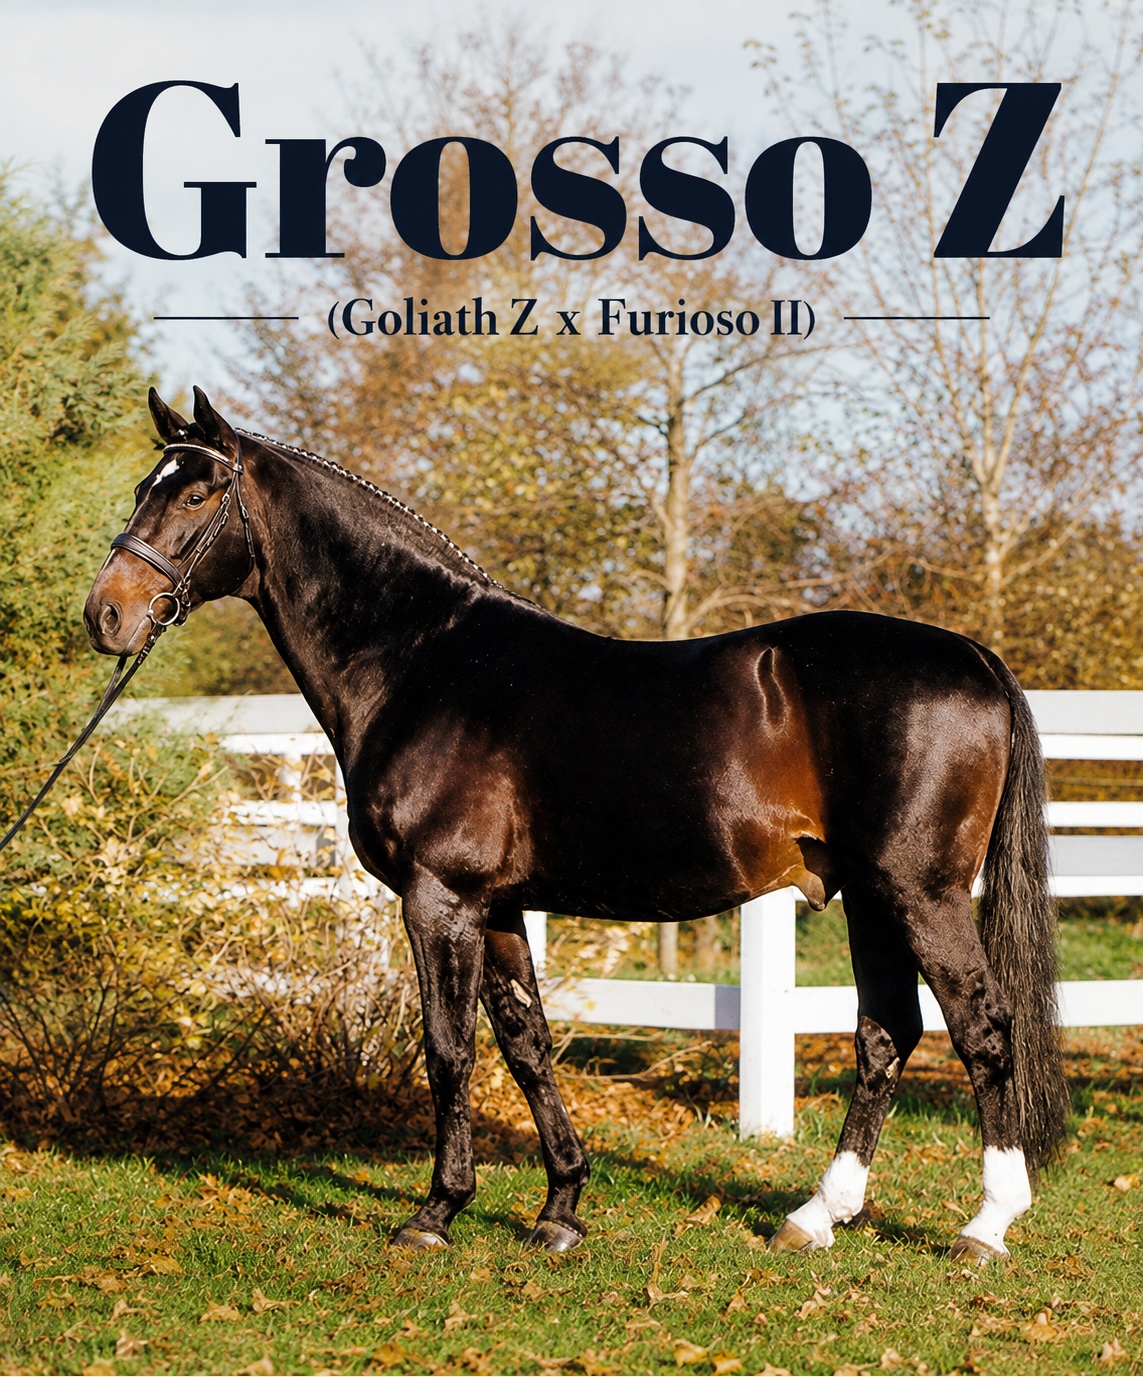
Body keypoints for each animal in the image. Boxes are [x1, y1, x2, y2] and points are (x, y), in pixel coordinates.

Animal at [84, 387, 1068, 1262]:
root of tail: (974, 657)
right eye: (141, 486)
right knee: (885, 1033)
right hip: (868, 894)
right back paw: (815, 1216)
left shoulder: (438, 899)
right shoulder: (495, 906)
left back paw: (985, 1225)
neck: (422, 662)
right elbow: (526, 1046)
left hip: (921, 892)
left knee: (982, 1030)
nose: (107, 615)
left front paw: (435, 1212)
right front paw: (560, 1207)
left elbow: (448, 1050)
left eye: (199, 492)